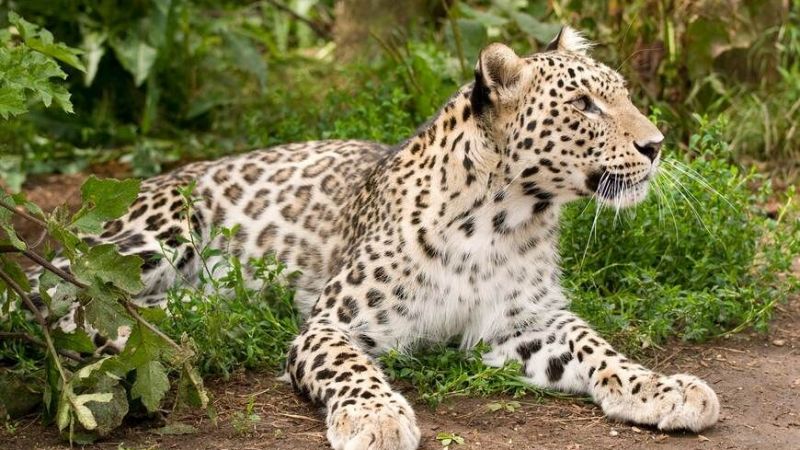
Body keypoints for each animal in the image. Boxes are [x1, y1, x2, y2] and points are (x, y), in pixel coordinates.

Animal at [31, 26, 720, 448]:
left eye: (622, 95)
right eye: (583, 106)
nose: (657, 145)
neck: (504, 220)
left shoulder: (525, 324)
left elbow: (594, 345)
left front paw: (663, 387)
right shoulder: (331, 324)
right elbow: (351, 366)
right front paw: (377, 415)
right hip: (158, 229)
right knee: (69, 301)